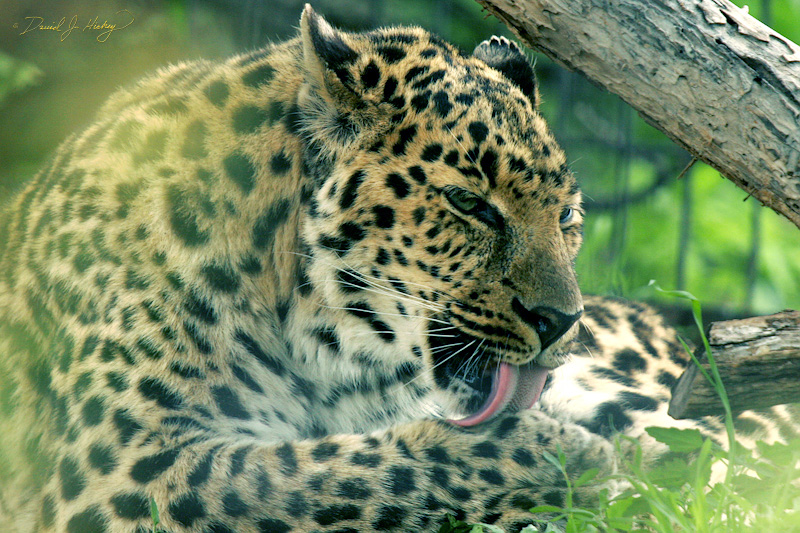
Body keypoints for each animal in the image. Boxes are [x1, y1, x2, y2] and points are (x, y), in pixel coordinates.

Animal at [0, 5, 795, 532]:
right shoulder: (121, 471)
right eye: (471, 204)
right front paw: (568, 458)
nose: (560, 321)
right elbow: (317, 474)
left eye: (567, 216)